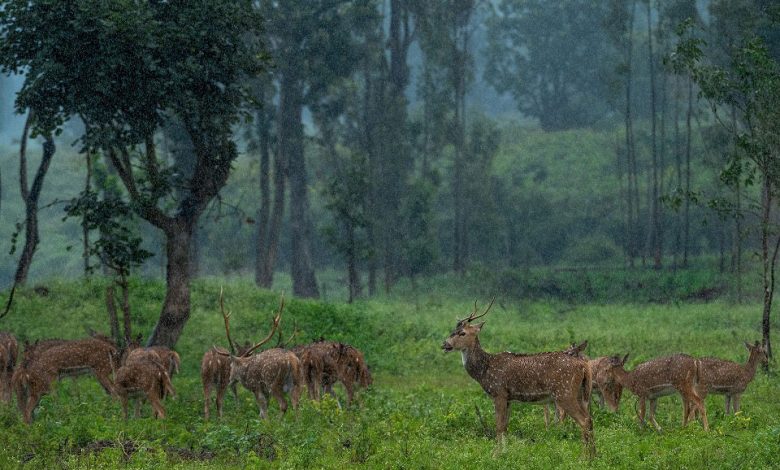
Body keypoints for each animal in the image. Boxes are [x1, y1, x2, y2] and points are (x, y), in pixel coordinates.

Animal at [442, 300, 596, 458]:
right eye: (452, 331)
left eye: (462, 333)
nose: (445, 344)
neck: (484, 371)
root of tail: (584, 366)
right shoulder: (508, 398)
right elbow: (505, 426)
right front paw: (505, 452)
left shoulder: (499, 392)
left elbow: (499, 426)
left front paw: (495, 454)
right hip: (581, 394)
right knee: (589, 419)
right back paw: (593, 455)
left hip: (564, 392)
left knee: (584, 420)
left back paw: (584, 457)